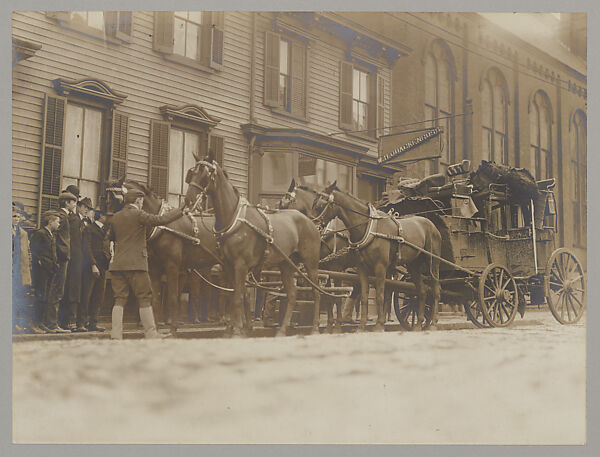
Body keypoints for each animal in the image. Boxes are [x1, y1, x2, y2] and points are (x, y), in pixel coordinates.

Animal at [184, 151, 322, 334]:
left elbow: (238, 297)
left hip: (310, 263)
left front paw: (237, 329)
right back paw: (282, 329)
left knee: (316, 292)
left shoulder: (241, 265)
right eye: (192, 172)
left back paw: (314, 328)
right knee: (292, 294)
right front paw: (239, 327)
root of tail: (310, 221)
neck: (234, 218)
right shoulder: (228, 266)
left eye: (206, 174)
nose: (189, 200)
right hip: (286, 264)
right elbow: (237, 294)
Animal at [312, 180, 442, 330]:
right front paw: (360, 326)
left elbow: (378, 296)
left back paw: (433, 322)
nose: (312, 226)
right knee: (421, 291)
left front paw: (378, 325)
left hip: (433, 263)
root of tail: (432, 225)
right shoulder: (360, 268)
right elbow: (360, 297)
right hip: (413, 264)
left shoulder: (376, 266)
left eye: (320, 205)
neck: (369, 228)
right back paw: (418, 324)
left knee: (435, 289)